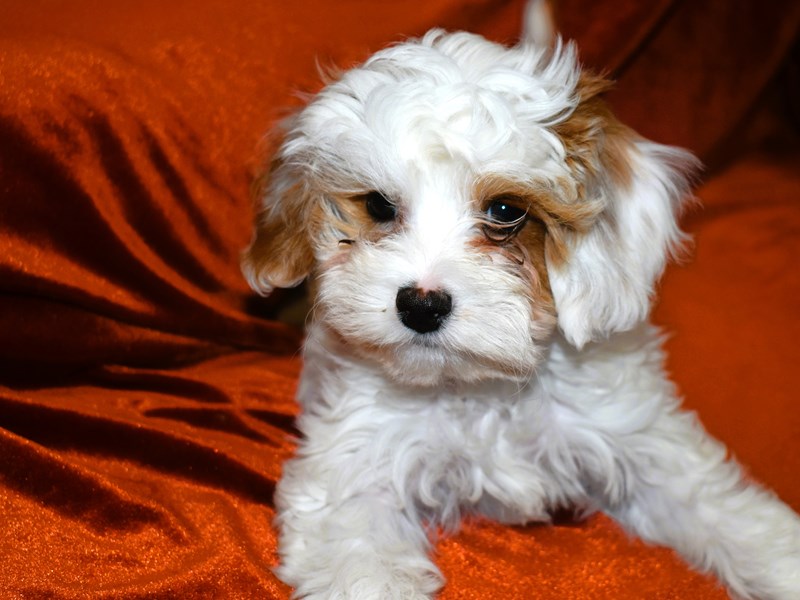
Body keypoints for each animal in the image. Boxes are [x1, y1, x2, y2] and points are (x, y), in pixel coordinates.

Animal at [242, 2, 800, 596]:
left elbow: (720, 507)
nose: (420, 304)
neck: (485, 388)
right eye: (378, 206)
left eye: (506, 212)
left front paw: (780, 564)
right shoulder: (352, 466)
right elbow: (360, 556)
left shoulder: (643, 438)